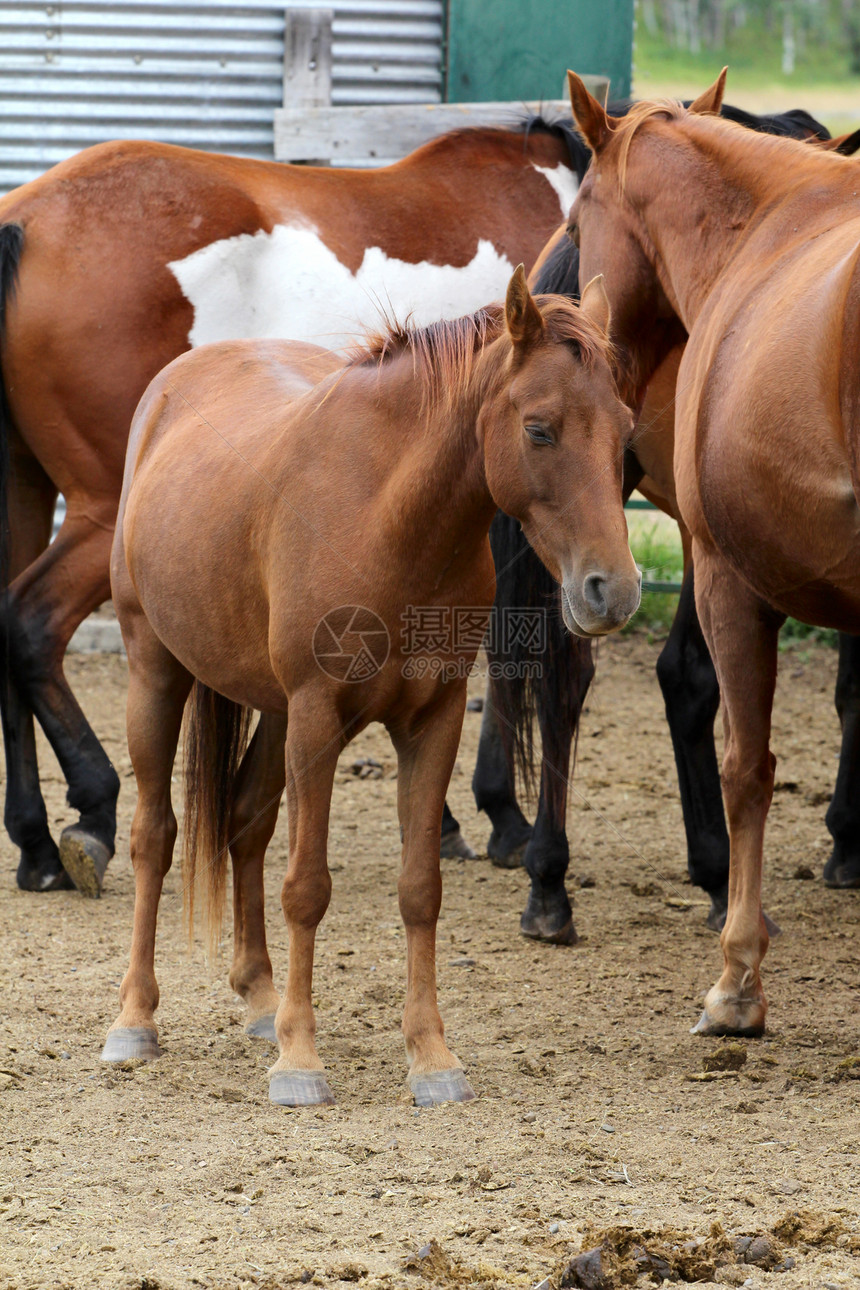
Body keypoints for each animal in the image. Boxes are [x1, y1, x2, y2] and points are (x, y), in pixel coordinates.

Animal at [0, 121, 585, 897]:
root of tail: (27, 219)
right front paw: (504, 821)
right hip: (100, 516)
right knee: (31, 621)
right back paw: (90, 811)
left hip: (30, 489)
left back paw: (37, 843)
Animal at [102, 274, 639, 1109]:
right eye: (541, 429)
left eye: (625, 429)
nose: (611, 592)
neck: (385, 515)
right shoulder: (318, 717)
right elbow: (306, 887)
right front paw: (299, 1061)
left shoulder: (432, 721)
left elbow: (420, 888)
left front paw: (432, 1059)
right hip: (157, 675)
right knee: (154, 838)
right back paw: (135, 1020)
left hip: (272, 711)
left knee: (245, 823)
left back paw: (259, 998)